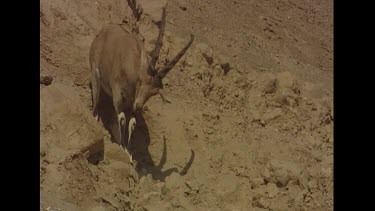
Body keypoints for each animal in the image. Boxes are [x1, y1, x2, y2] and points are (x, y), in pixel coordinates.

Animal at [88, 7, 194, 162]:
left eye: (154, 93)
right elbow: (122, 118)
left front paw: (130, 153)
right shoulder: (117, 91)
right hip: (95, 73)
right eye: (140, 81)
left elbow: (132, 123)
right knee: (96, 100)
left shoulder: (132, 102)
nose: (138, 106)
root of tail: (103, 31)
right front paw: (122, 147)